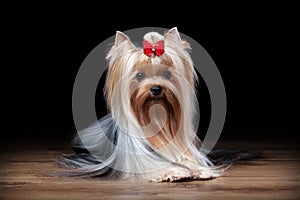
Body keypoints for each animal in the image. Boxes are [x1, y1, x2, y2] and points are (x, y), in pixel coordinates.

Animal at [61, 27, 234, 182]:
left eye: (167, 74)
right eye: (139, 75)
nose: (156, 88)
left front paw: (201, 170)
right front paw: (173, 172)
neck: (156, 117)